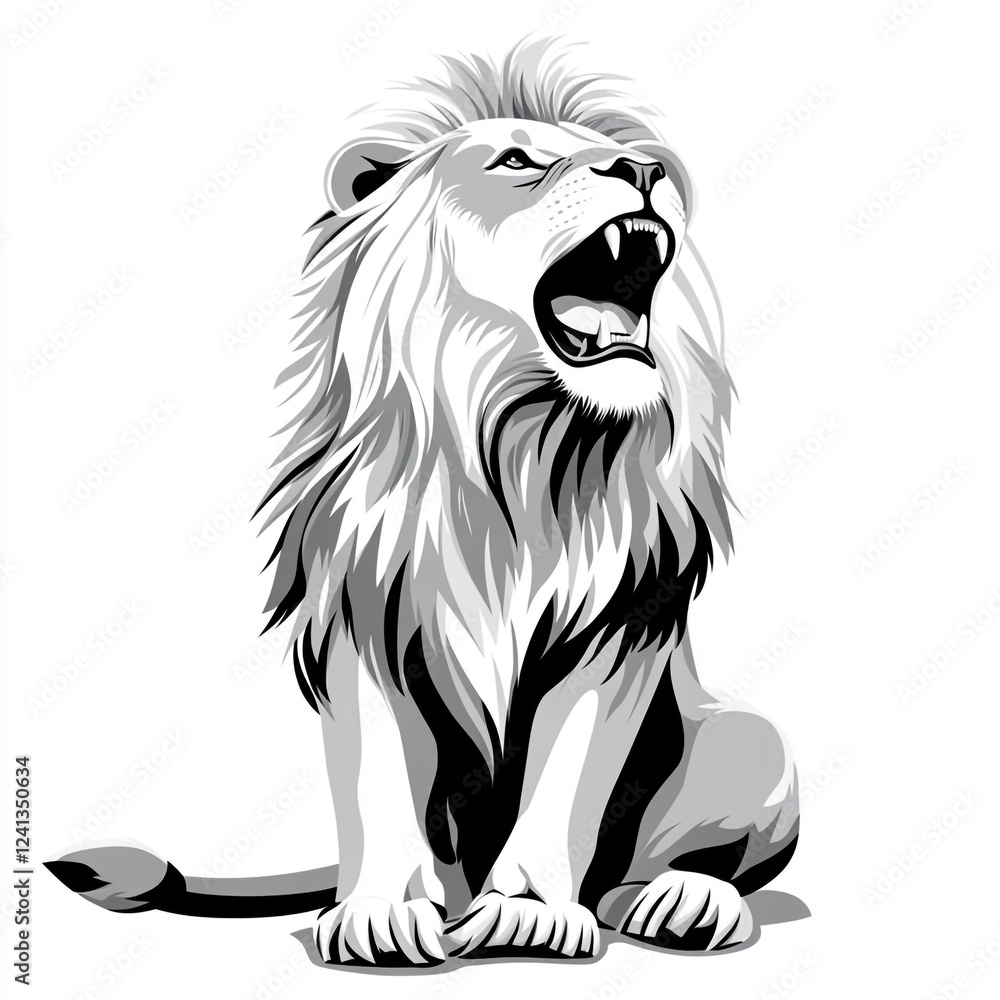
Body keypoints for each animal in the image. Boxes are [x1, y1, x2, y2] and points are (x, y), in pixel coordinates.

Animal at [46, 39, 799, 965]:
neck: (520, 449)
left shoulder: (619, 626)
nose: (646, 170)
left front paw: (528, 915)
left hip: (753, 740)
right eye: (516, 162)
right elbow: (374, 782)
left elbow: (567, 778)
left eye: (630, 158)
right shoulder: (360, 617)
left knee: (665, 864)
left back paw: (680, 900)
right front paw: (377, 915)